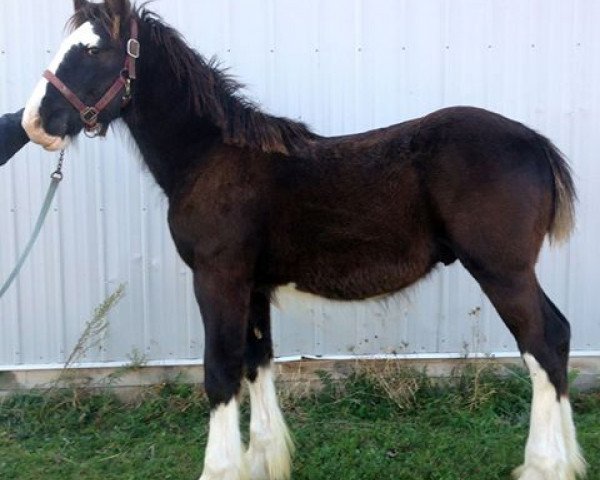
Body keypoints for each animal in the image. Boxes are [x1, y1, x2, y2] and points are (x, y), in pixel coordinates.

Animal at [19, 0, 584, 480]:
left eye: (93, 51)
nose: (36, 121)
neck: (210, 158)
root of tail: (534, 143)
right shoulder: (253, 285)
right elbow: (256, 362)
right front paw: (262, 461)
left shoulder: (218, 278)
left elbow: (220, 371)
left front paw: (221, 468)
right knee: (557, 338)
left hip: (503, 272)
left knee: (541, 346)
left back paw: (544, 466)